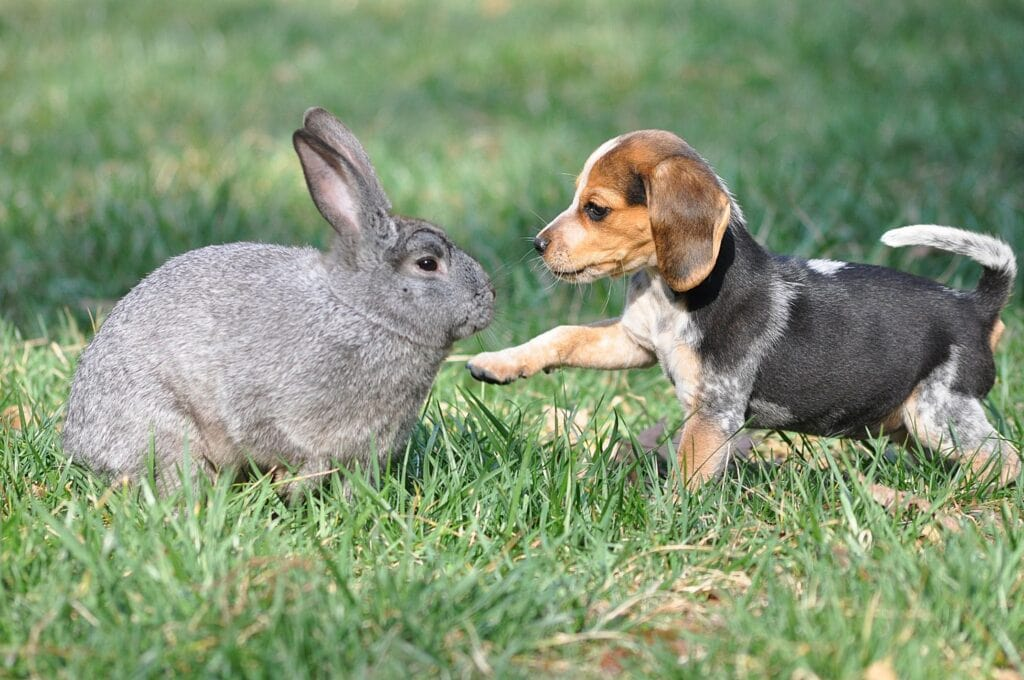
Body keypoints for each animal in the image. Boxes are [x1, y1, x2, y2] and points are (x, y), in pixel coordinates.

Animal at [64, 107, 495, 499]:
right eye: (427, 263)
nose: (489, 300)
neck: (362, 312)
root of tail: (77, 444)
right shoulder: (260, 403)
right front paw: (295, 486)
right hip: (166, 429)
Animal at [468, 129, 1019, 489]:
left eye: (595, 209)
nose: (537, 245)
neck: (669, 293)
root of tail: (977, 306)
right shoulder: (634, 341)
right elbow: (561, 334)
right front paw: (498, 363)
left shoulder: (714, 413)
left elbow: (688, 477)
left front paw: (663, 523)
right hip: (907, 422)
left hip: (941, 416)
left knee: (1006, 459)